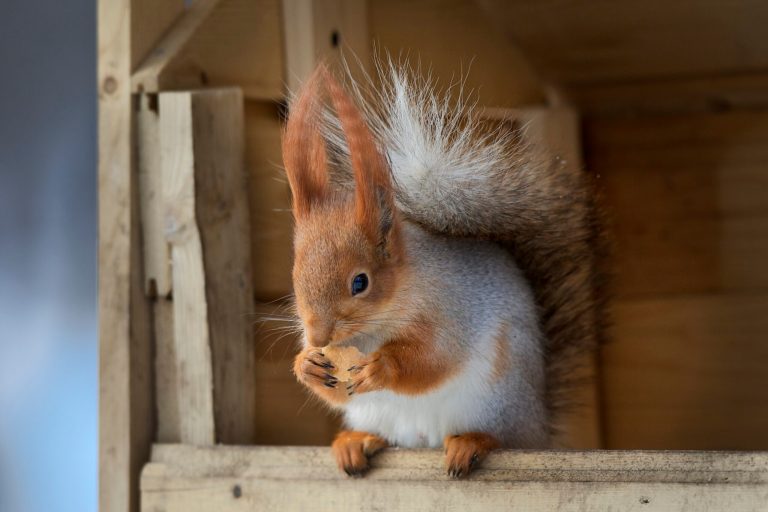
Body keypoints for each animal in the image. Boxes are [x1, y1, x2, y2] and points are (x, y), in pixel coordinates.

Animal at [282, 62, 606, 478]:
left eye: (360, 282)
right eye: (296, 276)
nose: (318, 336)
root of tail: (537, 428)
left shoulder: (453, 308)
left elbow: (436, 358)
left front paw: (381, 368)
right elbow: (334, 389)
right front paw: (306, 363)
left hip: (496, 404)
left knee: (498, 436)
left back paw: (472, 442)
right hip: (374, 415)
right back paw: (355, 442)